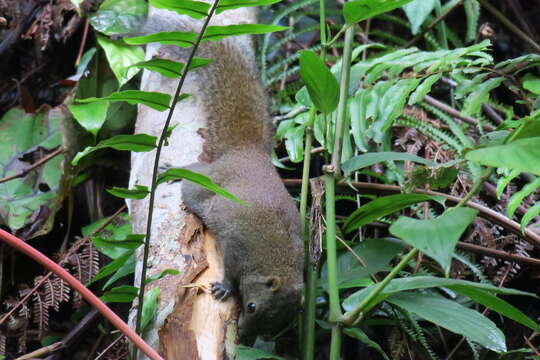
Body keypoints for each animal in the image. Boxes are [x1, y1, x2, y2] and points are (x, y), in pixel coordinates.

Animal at [141, 7, 306, 340]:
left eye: (275, 328)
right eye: (252, 307)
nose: (245, 335)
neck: (276, 261)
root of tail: (247, 153)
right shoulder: (236, 248)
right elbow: (229, 271)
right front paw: (225, 288)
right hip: (205, 186)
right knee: (193, 178)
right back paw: (170, 170)